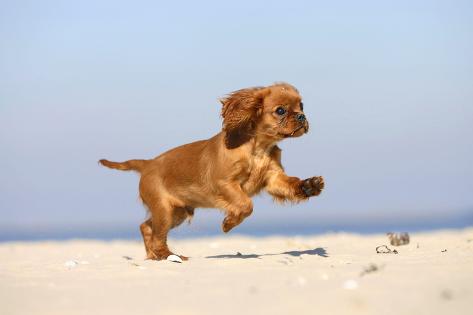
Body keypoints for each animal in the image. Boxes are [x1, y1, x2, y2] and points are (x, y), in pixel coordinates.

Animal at [100, 82, 324, 262]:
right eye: (281, 110)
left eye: (302, 106)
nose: (302, 116)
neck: (258, 148)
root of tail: (148, 163)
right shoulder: (224, 183)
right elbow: (246, 204)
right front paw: (229, 223)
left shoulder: (273, 178)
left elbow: (288, 184)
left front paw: (309, 185)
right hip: (164, 210)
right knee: (156, 235)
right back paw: (167, 255)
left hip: (177, 212)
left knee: (146, 227)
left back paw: (155, 257)